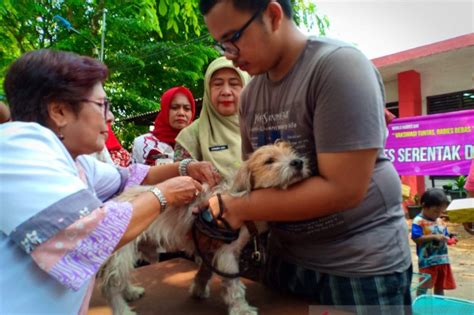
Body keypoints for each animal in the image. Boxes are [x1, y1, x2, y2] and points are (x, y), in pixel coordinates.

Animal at [99, 141, 312, 315]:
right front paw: (241, 309)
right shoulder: (227, 254)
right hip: (121, 254)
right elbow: (234, 286)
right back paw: (122, 309)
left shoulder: (209, 250)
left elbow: (205, 272)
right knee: (110, 287)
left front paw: (198, 290)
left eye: (291, 152)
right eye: (269, 161)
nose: (298, 162)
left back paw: (130, 291)